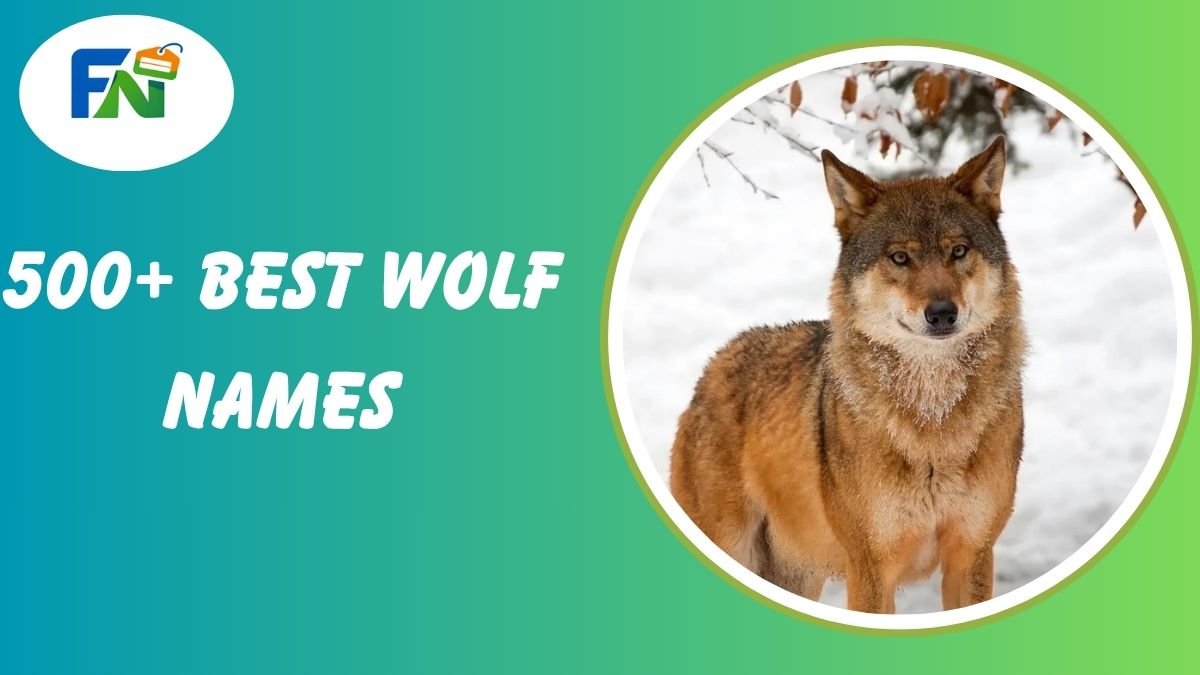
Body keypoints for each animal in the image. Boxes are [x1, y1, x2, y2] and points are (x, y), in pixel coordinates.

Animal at [669, 138, 1025, 613]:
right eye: (900, 258)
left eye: (958, 251)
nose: (942, 313)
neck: (933, 419)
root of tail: (712, 367)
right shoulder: (871, 568)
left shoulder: (972, 555)